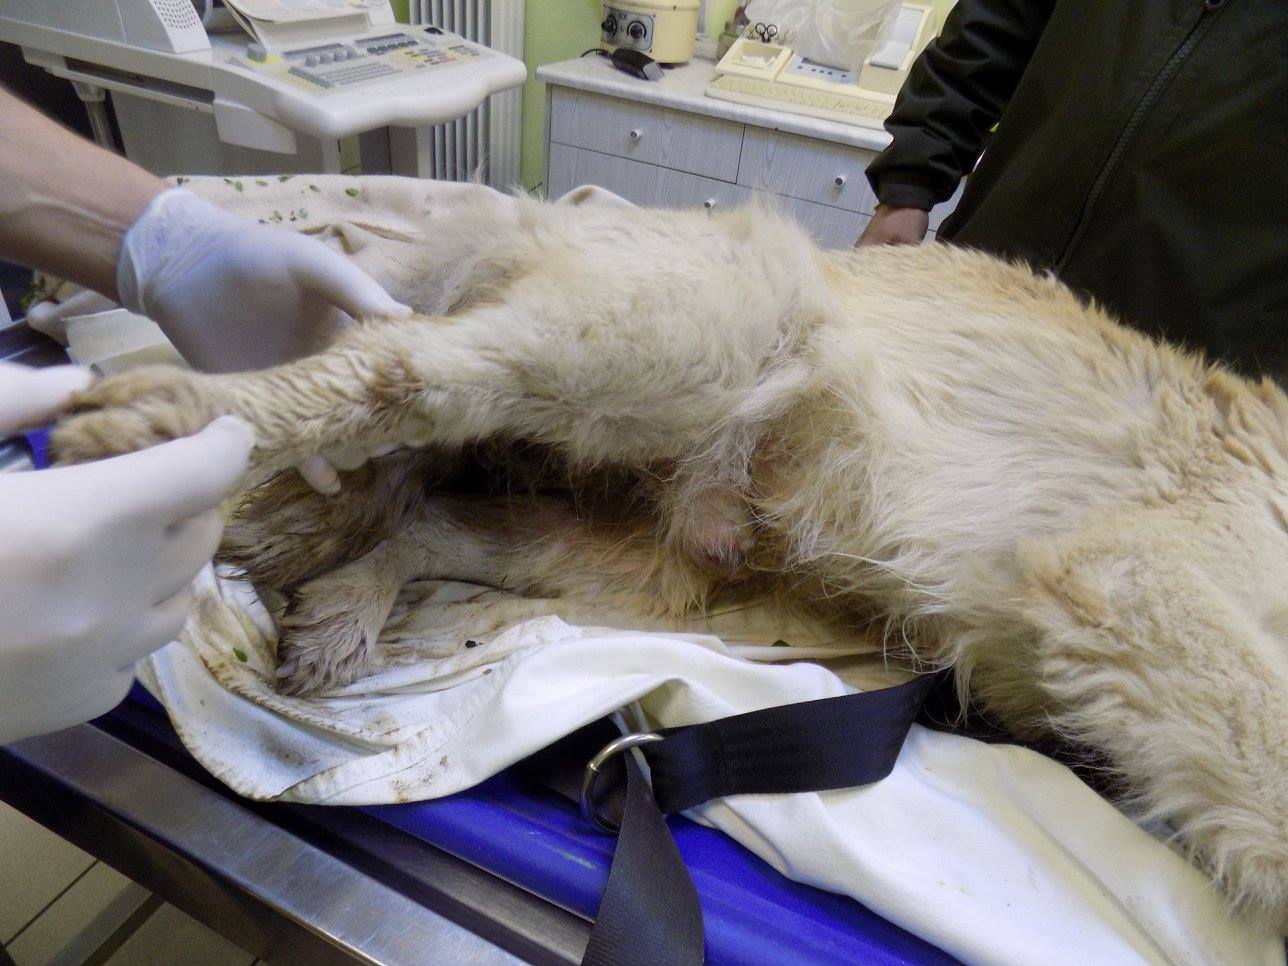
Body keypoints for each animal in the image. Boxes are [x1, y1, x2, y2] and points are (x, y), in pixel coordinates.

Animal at [52, 185, 1288, 929]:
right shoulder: (1139, 575)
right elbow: (1267, 775)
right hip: (662, 340)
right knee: (392, 365)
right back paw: (156, 432)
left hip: (637, 556)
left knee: (424, 511)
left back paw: (342, 599)